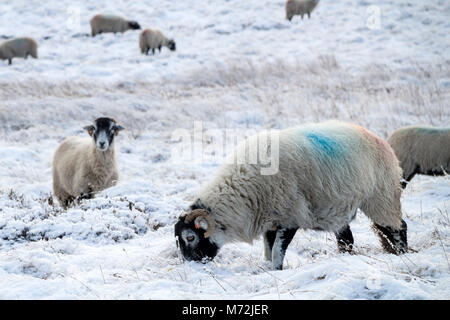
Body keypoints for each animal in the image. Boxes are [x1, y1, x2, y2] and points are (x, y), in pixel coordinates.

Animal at [175, 120, 408, 270]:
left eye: (190, 237)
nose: (191, 265)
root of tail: (379, 139)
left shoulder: (290, 217)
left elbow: (277, 251)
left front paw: (276, 270)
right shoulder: (271, 221)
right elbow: (268, 250)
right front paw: (268, 268)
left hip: (381, 197)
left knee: (398, 227)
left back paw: (402, 253)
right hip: (343, 207)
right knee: (347, 238)